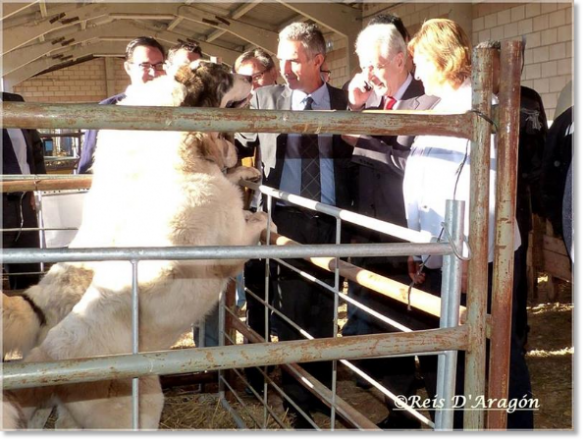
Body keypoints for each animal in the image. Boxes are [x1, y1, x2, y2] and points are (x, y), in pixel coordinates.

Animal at [1, 61, 274, 428]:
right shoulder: (230, 245)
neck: (185, 166)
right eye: (221, 74)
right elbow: (257, 221)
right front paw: (268, 220)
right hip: (138, 406)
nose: (249, 76)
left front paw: (246, 176)